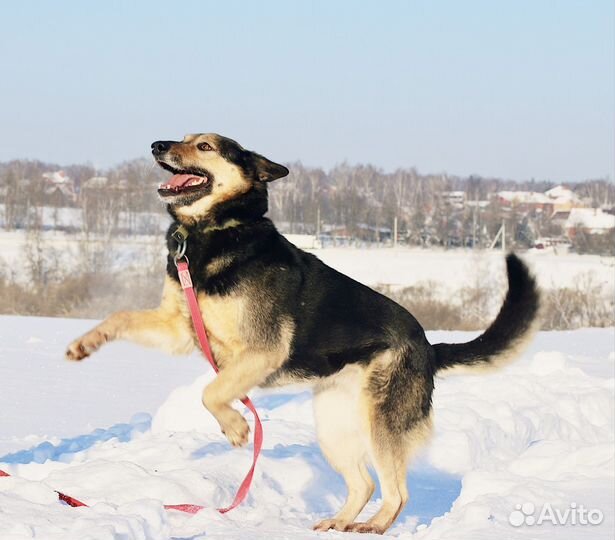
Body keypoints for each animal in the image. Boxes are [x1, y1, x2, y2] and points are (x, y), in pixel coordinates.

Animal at [65, 133, 540, 532]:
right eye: (181, 137)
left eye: (204, 145)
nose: (157, 144)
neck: (214, 231)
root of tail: (428, 347)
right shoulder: (179, 328)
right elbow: (119, 317)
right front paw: (83, 344)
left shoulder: (262, 350)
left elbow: (211, 392)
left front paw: (236, 428)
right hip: (334, 429)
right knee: (365, 484)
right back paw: (338, 523)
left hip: (380, 425)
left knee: (398, 492)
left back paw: (373, 526)